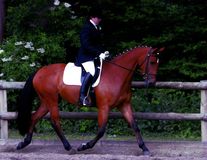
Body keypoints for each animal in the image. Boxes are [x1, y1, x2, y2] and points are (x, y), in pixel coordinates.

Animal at [16, 46, 163, 155]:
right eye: (152, 62)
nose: (152, 83)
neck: (118, 75)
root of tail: (39, 71)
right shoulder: (104, 107)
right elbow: (101, 130)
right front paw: (85, 146)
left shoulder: (124, 105)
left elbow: (135, 126)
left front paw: (145, 148)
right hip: (51, 100)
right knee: (55, 121)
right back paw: (69, 147)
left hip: (46, 101)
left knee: (34, 117)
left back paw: (24, 143)